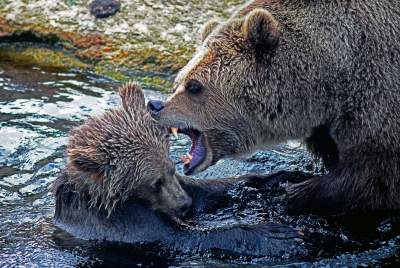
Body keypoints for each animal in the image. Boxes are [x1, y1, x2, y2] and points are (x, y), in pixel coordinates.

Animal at [149, 0, 400, 216]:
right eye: (177, 82)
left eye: (194, 86)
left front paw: (294, 193)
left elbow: (372, 177)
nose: (154, 105)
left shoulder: (375, 94)